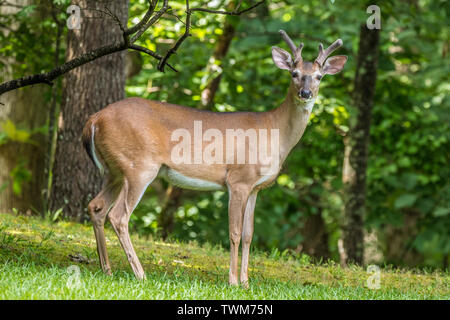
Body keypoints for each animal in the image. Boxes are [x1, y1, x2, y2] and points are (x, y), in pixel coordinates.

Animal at [82, 30, 346, 288]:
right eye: (294, 73)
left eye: (319, 76)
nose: (305, 93)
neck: (275, 131)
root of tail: (94, 119)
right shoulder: (238, 179)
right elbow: (235, 232)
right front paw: (233, 282)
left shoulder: (255, 188)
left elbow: (249, 234)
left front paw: (246, 282)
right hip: (139, 167)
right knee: (118, 216)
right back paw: (140, 274)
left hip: (115, 171)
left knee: (96, 207)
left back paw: (106, 269)